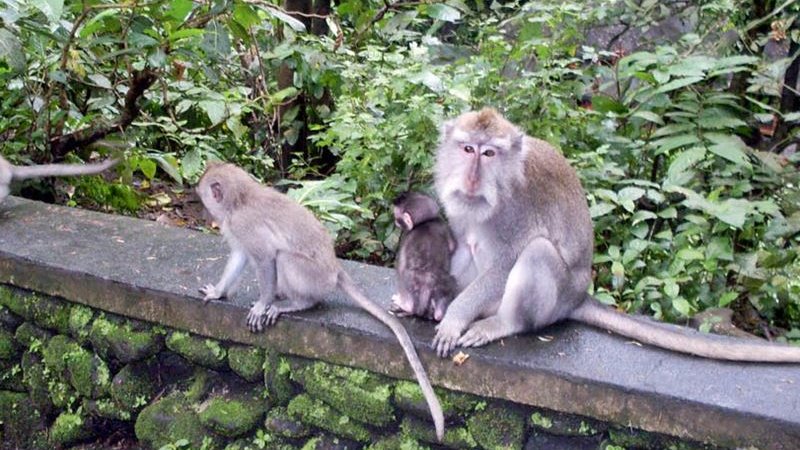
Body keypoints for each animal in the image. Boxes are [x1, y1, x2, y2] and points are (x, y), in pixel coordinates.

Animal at [195, 163, 445, 440]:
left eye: (203, 199)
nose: (205, 216)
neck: (239, 200)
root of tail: (335, 268)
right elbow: (240, 256)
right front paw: (218, 292)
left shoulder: (244, 225)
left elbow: (265, 259)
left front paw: (262, 304)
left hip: (314, 277)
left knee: (283, 258)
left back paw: (296, 303)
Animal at [390, 192, 457, 321]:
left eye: (397, 218)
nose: (395, 222)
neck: (426, 222)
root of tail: (428, 287)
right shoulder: (443, 225)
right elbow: (453, 246)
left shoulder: (406, 237)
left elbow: (400, 264)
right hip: (443, 285)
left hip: (411, 284)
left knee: (404, 277)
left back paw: (404, 306)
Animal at [431, 107, 800, 363]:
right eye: (467, 149)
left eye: (489, 153)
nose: (472, 178)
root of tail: (578, 298)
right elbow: (457, 242)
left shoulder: (516, 210)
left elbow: (506, 263)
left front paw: (454, 317)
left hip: (557, 298)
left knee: (537, 252)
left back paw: (503, 323)